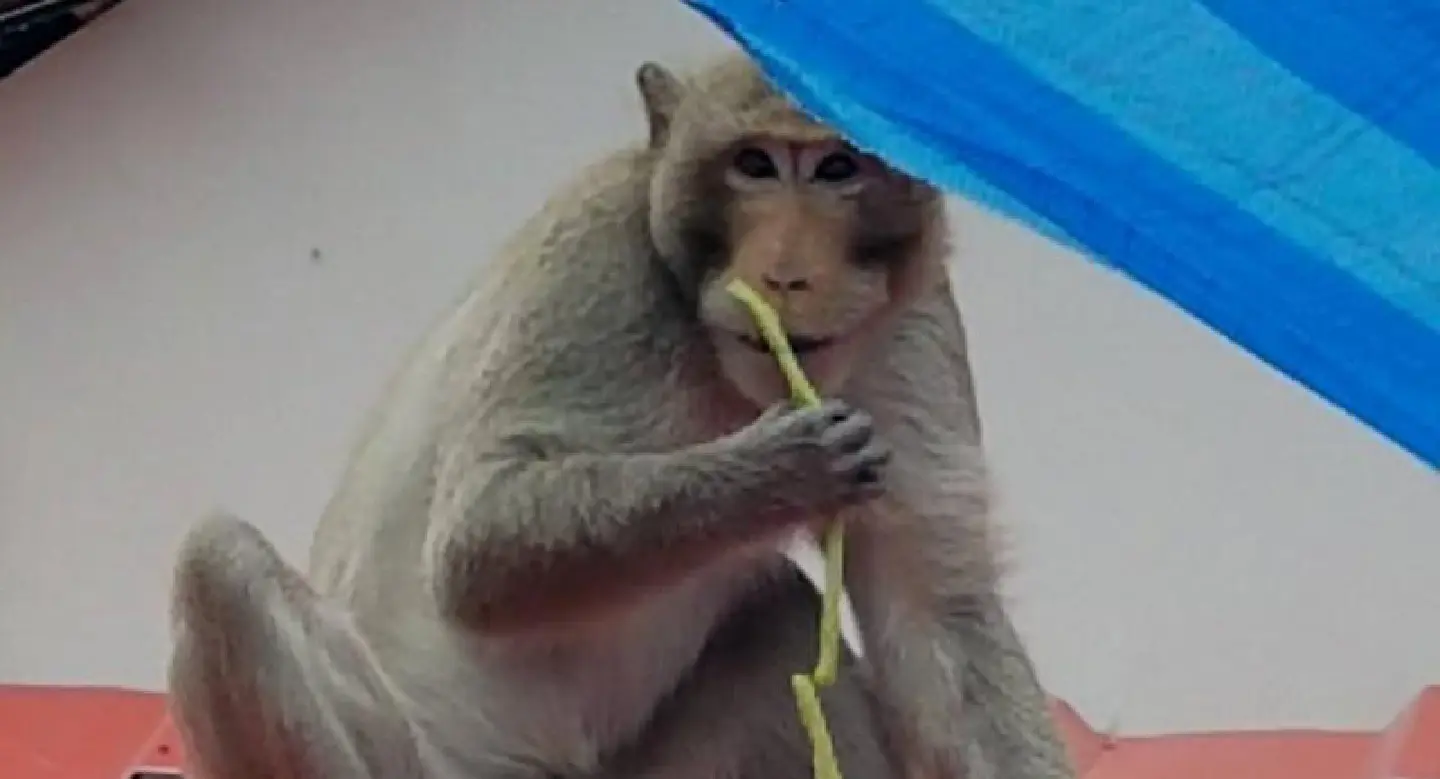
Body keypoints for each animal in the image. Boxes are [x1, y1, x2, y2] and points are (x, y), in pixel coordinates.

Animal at [166, 50, 1075, 779]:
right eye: (754, 164)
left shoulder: (912, 321)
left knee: (769, 616)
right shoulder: (601, 266)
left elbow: (940, 621)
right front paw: (777, 473)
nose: (785, 275)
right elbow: (476, 546)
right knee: (221, 563)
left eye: (837, 170)